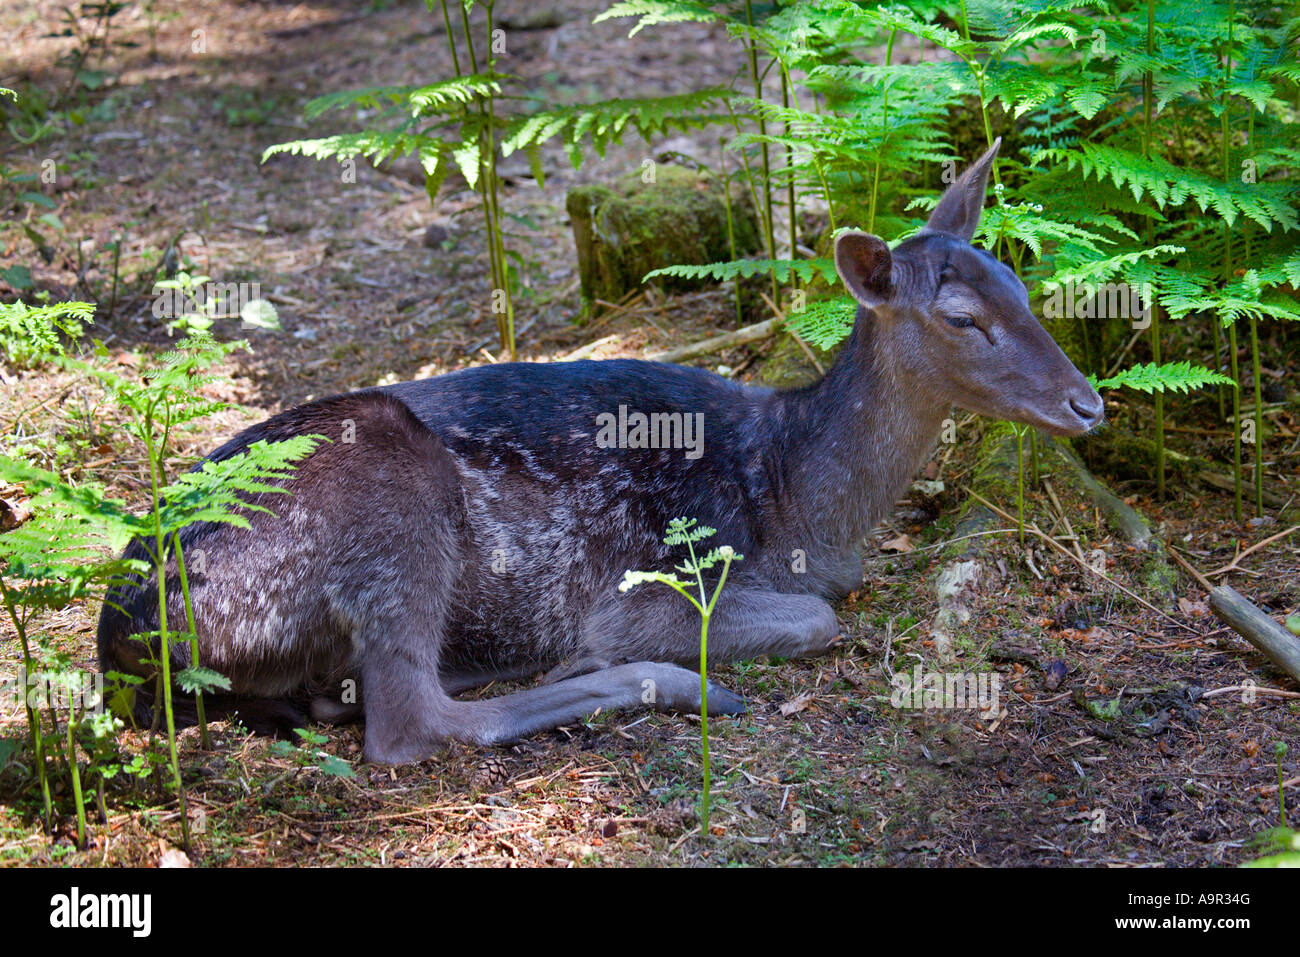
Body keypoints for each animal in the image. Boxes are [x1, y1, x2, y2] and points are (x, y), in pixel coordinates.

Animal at [96, 138, 1102, 764]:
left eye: (1021, 284)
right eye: (963, 318)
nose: (1088, 403)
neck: (796, 501)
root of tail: (123, 641)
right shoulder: (657, 581)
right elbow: (819, 619)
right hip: (389, 496)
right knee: (409, 725)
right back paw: (646, 679)